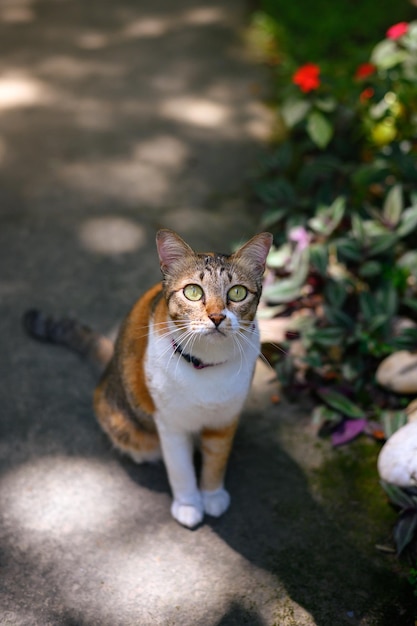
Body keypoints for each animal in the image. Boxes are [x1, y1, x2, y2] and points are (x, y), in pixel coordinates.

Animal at [24, 229, 272, 528]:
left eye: (237, 292)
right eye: (193, 292)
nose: (216, 317)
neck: (206, 364)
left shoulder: (225, 418)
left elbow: (217, 458)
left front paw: (211, 494)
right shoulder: (170, 423)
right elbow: (180, 468)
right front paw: (189, 503)